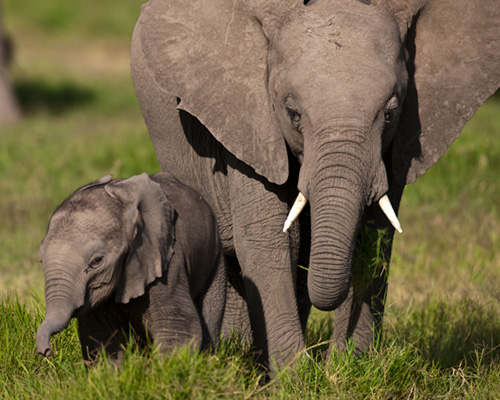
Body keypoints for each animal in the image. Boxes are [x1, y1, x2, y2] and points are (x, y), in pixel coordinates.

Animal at [37, 173, 227, 366]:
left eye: (96, 261)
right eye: (41, 260)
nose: (46, 352)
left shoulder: (166, 258)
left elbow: (177, 323)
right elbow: (100, 334)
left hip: (215, 258)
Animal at [132, 0, 500, 372]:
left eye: (390, 113)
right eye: (293, 114)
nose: (329, 362)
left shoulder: (397, 147)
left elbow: (376, 239)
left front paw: (349, 370)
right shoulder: (250, 124)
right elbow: (270, 238)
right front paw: (294, 377)